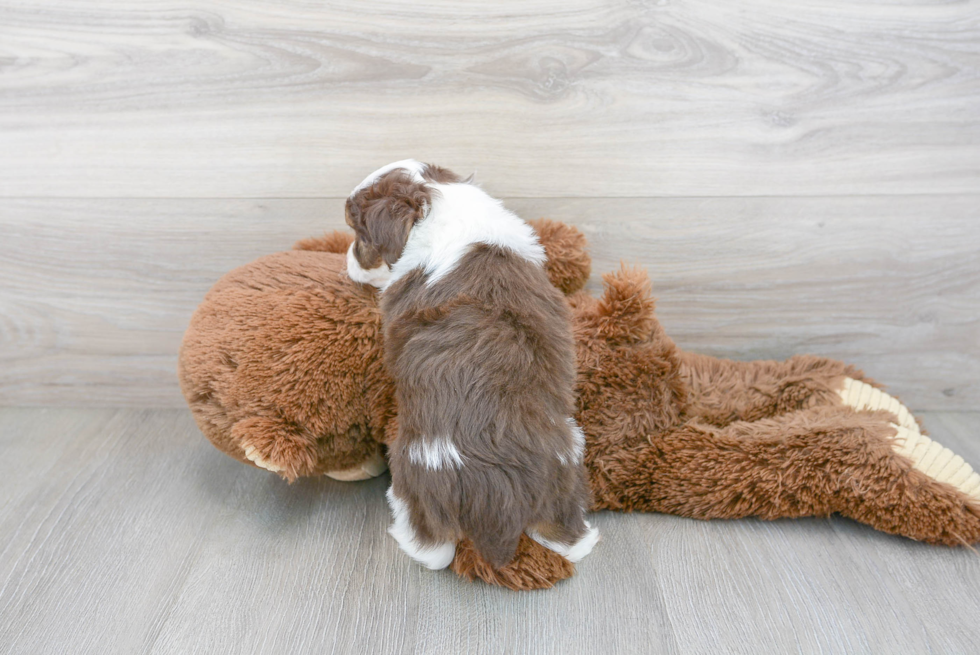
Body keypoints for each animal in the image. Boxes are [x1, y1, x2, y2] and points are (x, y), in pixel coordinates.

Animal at [348, 159, 600, 568]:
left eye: (359, 235)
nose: (348, 264)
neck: (436, 199)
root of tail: (497, 488)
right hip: (566, 470)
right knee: (570, 540)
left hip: (414, 480)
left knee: (434, 549)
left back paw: (406, 539)